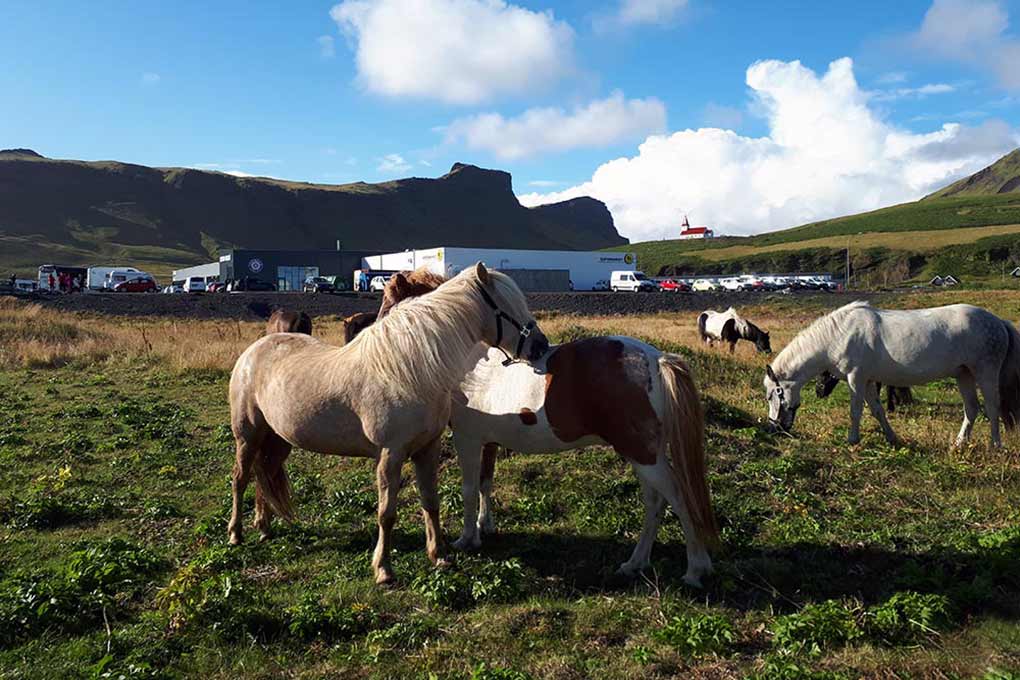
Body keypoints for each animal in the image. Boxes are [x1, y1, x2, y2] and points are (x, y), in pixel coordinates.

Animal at [227, 263, 549, 585]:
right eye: (508, 306)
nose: (540, 346)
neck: (409, 370)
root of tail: (254, 351)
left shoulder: (427, 450)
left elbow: (430, 501)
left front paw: (439, 555)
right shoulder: (389, 455)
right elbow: (386, 513)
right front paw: (383, 569)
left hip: (279, 440)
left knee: (264, 474)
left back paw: (264, 527)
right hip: (247, 436)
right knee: (241, 477)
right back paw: (235, 534)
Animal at [349, 268, 719, 587]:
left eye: (389, 301)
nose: (370, 342)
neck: (467, 362)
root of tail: (656, 360)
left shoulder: (467, 438)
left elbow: (468, 488)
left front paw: (467, 538)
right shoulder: (489, 441)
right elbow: (485, 483)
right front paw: (485, 526)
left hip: (642, 454)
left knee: (677, 497)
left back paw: (695, 569)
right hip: (643, 454)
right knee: (654, 503)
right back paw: (635, 563)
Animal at [764, 301, 1020, 447]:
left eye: (773, 395)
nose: (776, 428)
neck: (839, 334)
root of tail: (999, 322)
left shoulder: (856, 378)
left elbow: (855, 411)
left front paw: (852, 440)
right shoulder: (868, 381)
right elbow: (877, 411)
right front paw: (892, 438)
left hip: (985, 372)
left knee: (992, 407)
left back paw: (996, 446)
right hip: (963, 374)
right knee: (972, 409)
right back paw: (959, 443)